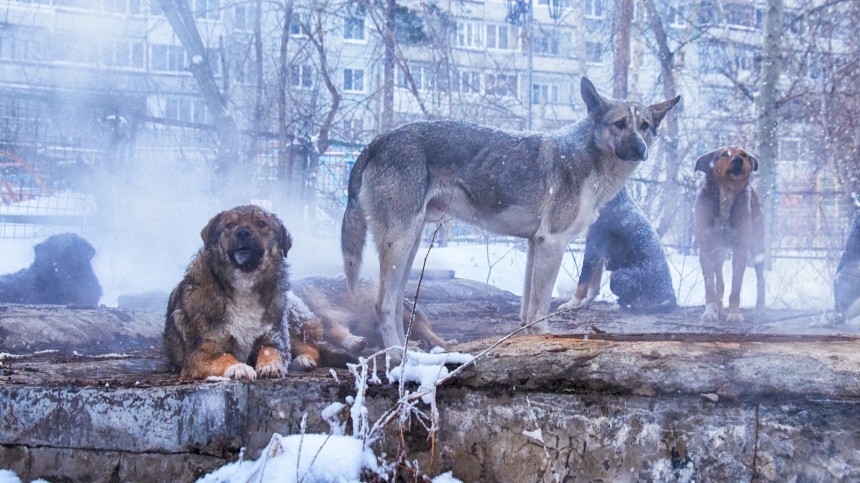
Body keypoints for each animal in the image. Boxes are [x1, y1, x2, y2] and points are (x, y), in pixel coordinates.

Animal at [161, 206, 350, 380]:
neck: (244, 283)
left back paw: (303, 360)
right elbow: (224, 357)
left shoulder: (276, 338)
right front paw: (239, 367)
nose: (243, 233)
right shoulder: (199, 353)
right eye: (229, 225)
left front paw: (270, 365)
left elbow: (271, 350)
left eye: (261, 223)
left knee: (313, 348)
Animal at [556, 185, 680, 314]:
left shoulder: (594, 247)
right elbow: (594, 287)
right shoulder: (599, 252)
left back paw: (619, 306)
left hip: (618, 277)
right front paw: (585, 304)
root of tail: (671, 294)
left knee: (637, 304)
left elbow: (583, 281)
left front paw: (572, 304)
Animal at [692, 146, 764, 324]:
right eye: (724, 154)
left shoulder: (740, 250)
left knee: (761, 279)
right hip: (719, 253)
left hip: (757, 246)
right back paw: (719, 310)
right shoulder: (706, 250)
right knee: (720, 281)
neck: (726, 193)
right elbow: (710, 286)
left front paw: (734, 313)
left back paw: (760, 310)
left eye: (744, 155)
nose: (738, 159)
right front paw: (710, 312)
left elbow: (736, 288)